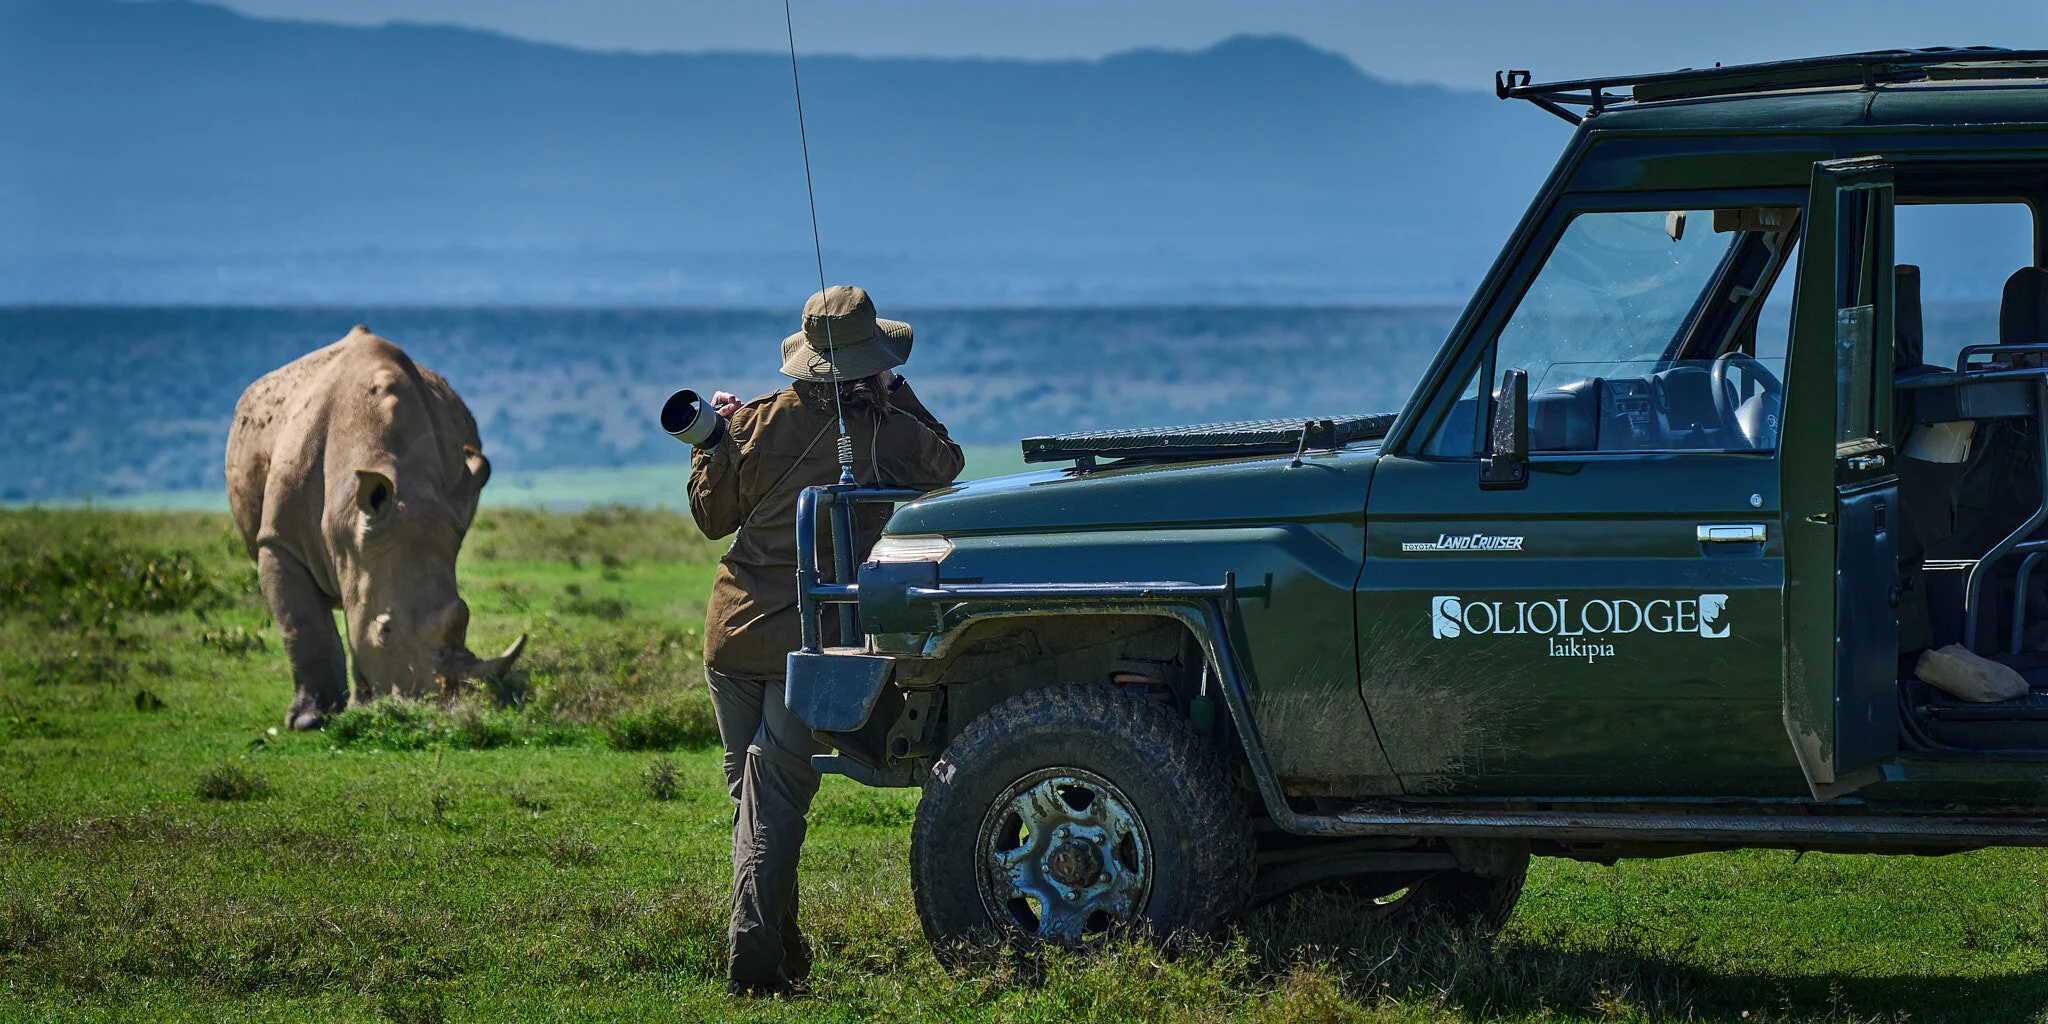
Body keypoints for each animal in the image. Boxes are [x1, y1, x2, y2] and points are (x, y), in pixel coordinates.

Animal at [226, 326, 524, 730]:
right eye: (384, 630)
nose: (435, 711)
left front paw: (360, 711)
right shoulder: (277, 540)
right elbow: (301, 626)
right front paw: (308, 721)